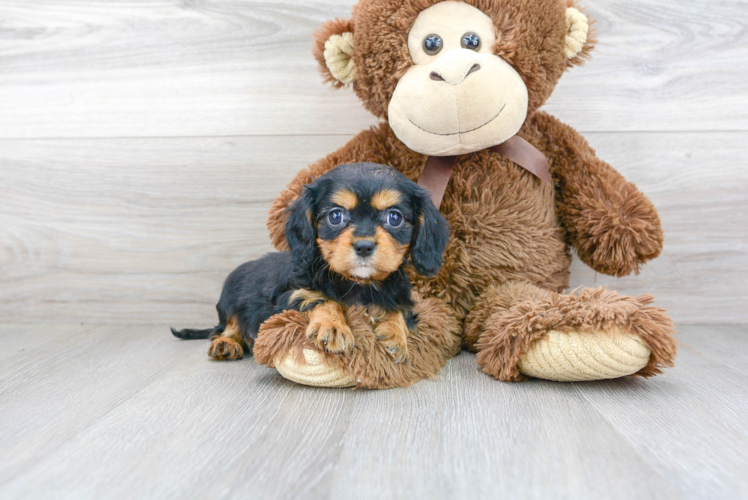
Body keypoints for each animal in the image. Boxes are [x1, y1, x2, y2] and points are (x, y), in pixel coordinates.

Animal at [171, 164, 450, 364]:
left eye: (394, 218)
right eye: (335, 216)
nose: (364, 246)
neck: (357, 283)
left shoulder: (402, 297)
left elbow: (397, 310)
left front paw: (394, 334)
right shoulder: (289, 294)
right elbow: (317, 297)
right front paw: (333, 326)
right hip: (229, 296)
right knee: (227, 327)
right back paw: (226, 344)